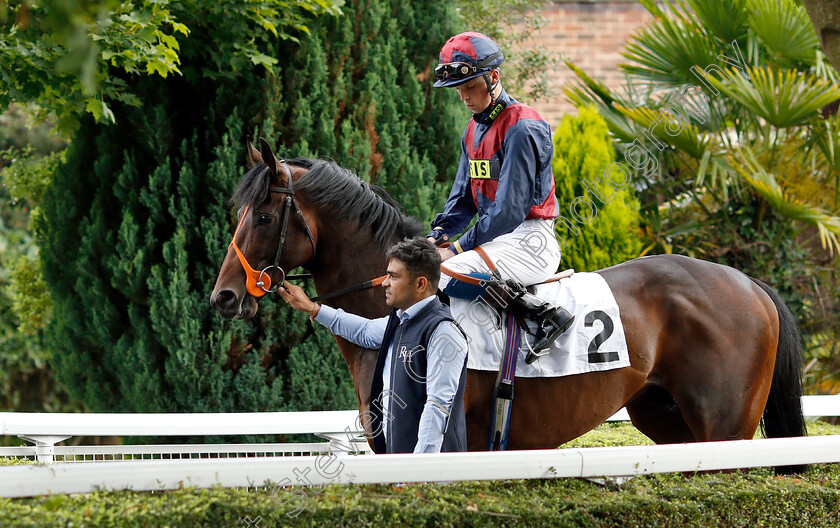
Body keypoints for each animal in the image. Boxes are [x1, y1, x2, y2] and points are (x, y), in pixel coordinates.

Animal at [210, 140, 808, 470]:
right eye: (238, 212)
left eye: (263, 216)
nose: (224, 296)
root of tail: (751, 285)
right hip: (668, 421)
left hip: (727, 429)